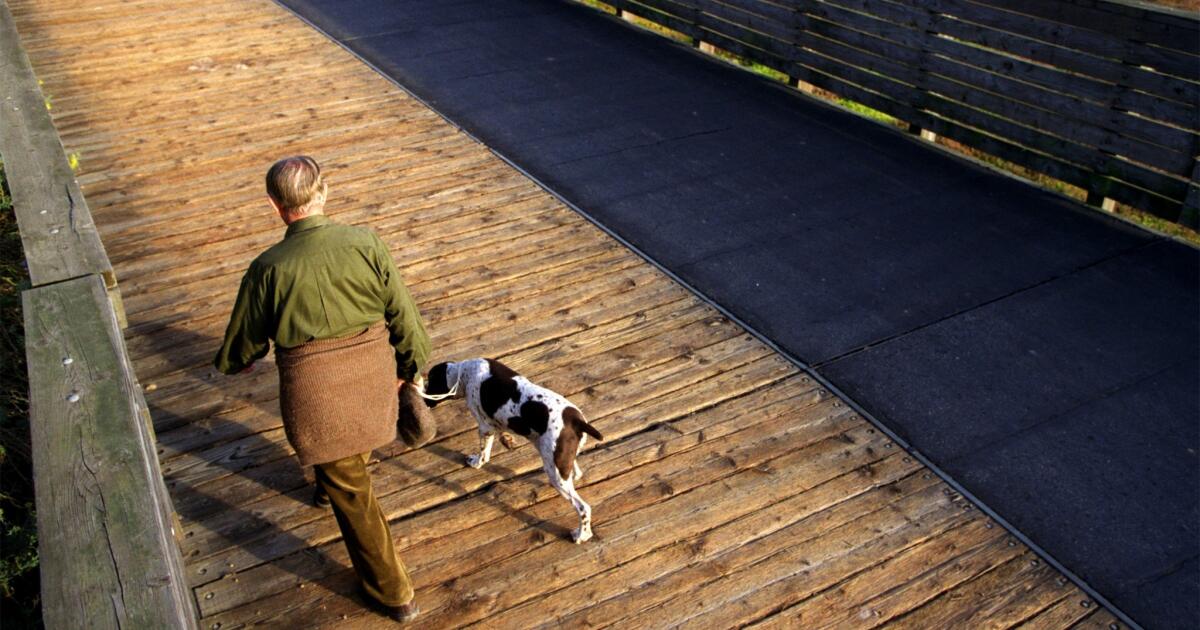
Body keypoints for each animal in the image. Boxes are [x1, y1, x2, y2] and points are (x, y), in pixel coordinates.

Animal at [424, 357, 609, 540]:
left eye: (430, 383)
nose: (425, 401)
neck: (464, 372)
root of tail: (577, 422)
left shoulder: (485, 427)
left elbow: (484, 452)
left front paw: (476, 462)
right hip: (560, 460)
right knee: (576, 472)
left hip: (555, 472)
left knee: (583, 508)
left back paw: (581, 535)